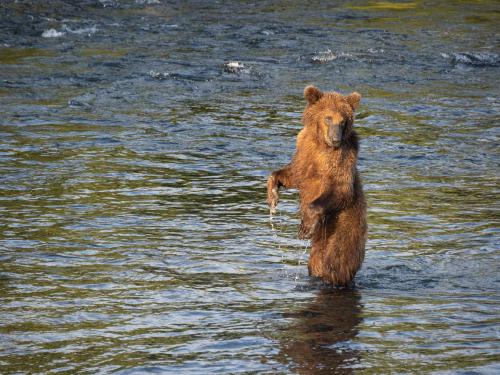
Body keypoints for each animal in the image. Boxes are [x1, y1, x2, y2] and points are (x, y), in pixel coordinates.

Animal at [266, 85, 368, 284]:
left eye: (343, 121)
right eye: (328, 118)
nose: (336, 138)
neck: (322, 144)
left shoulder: (340, 161)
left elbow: (340, 189)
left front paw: (305, 228)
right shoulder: (304, 152)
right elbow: (294, 174)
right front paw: (272, 195)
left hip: (343, 226)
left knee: (334, 261)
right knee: (316, 262)